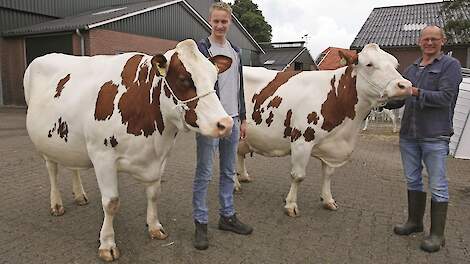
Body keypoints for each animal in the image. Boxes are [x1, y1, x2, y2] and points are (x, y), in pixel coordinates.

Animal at [23, 39, 233, 262]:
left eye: (214, 78)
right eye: (184, 79)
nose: (225, 124)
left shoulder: (160, 157)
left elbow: (154, 194)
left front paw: (155, 227)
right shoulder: (102, 156)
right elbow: (111, 202)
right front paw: (107, 244)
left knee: (73, 167)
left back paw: (79, 195)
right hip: (46, 143)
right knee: (52, 170)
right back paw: (56, 204)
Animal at [235, 43, 412, 217]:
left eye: (396, 64)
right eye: (369, 64)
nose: (405, 86)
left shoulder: (332, 146)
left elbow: (328, 175)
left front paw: (328, 200)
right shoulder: (301, 141)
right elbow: (298, 176)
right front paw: (291, 205)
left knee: (238, 153)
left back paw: (242, 176)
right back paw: (236, 184)